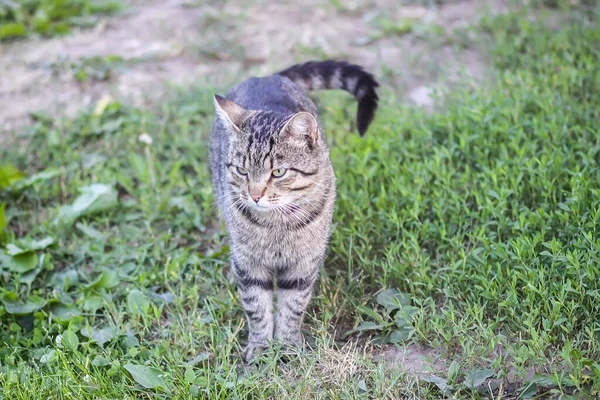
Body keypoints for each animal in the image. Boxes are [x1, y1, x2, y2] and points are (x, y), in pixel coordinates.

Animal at [210, 60, 380, 362]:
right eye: (242, 170)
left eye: (278, 172)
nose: (254, 195)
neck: (277, 225)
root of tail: (267, 76)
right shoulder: (249, 264)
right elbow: (256, 307)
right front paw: (261, 346)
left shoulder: (304, 263)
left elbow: (292, 307)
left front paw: (288, 344)